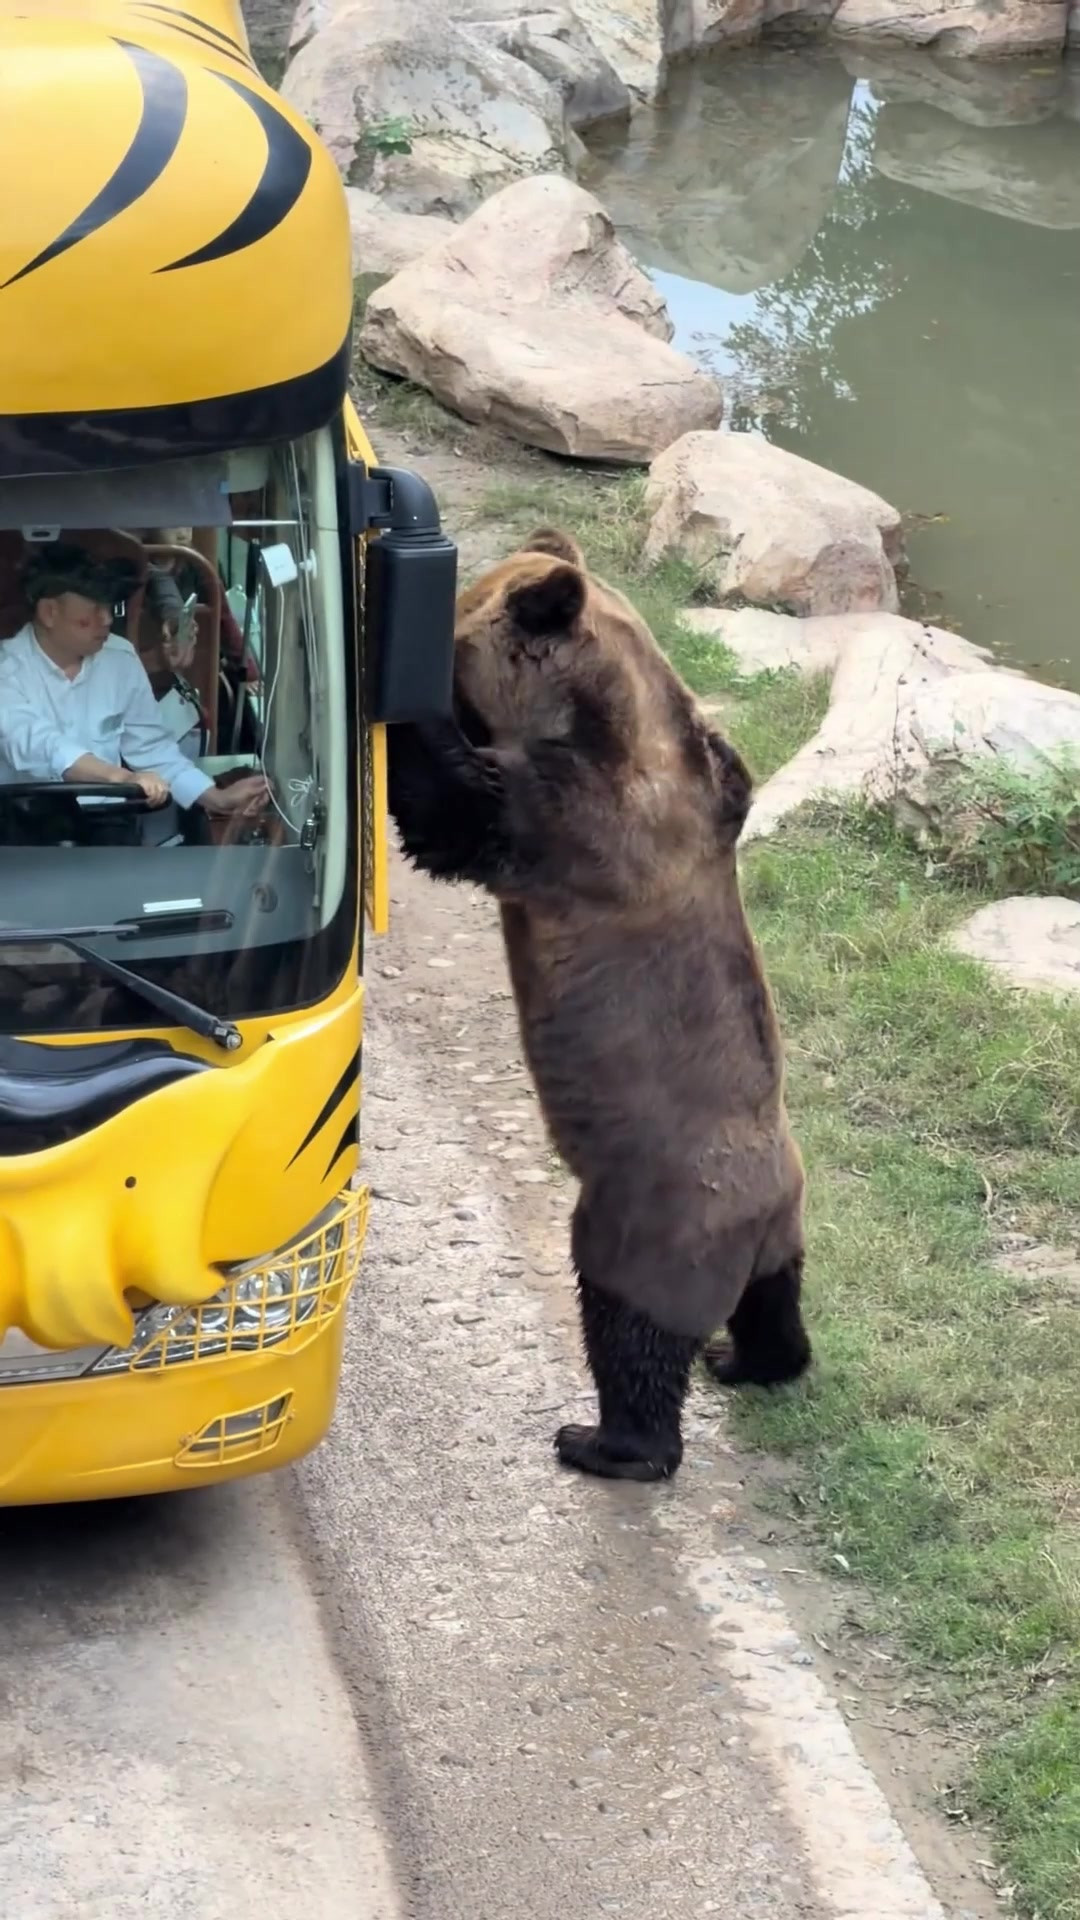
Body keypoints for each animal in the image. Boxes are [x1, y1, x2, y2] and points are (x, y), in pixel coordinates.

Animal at [387, 527, 810, 1482]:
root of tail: (759, 1212)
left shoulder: (587, 827)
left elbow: (455, 813)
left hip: (651, 1217)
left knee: (629, 1329)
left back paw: (608, 1441)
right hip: (780, 1224)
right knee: (776, 1302)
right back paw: (754, 1360)